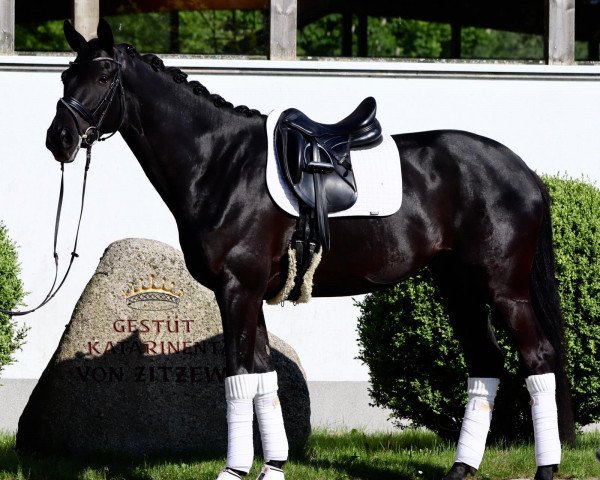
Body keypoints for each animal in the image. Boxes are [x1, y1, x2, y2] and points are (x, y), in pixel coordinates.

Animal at [45, 19, 572, 480]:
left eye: (104, 75)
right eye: (67, 74)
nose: (59, 139)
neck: (220, 164)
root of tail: (523, 173)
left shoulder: (236, 290)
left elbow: (238, 377)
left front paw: (233, 470)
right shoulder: (249, 294)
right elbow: (263, 377)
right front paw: (272, 467)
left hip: (504, 290)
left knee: (538, 359)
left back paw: (545, 469)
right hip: (459, 289)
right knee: (485, 364)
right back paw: (462, 468)